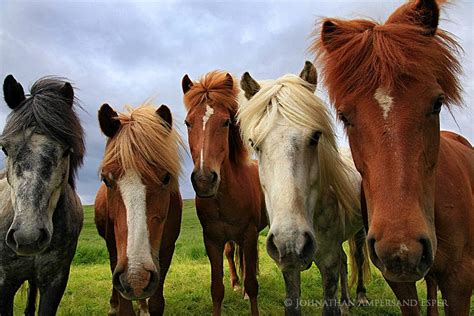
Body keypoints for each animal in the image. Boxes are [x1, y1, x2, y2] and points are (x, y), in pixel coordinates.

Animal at [94, 104, 181, 316]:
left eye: (166, 178)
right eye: (106, 180)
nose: (136, 277)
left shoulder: (167, 249)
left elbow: (157, 302)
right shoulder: (114, 250)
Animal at [181, 72, 266, 316]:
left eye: (226, 122)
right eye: (188, 122)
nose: (204, 180)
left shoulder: (249, 234)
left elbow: (253, 285)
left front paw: (248, 293)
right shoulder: (212, 240)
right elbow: (216, 289)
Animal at [239, 60, 368, 314]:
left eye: (316, 136)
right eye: (254, 144)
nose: (291, 242)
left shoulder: (328, 262)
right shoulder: (289, 268)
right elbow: (293, 304)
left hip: (359, 232)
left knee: (357, 258)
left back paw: (359, 296)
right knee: (345, 260)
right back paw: (346, 300)